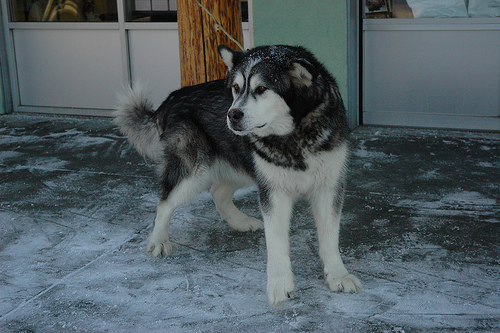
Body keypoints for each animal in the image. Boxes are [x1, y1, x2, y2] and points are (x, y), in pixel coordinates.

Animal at [114, 45, 362, 304]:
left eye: (261, 89)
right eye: (235, 88)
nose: (232, 114)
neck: (293, 136)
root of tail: (174, 96)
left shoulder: (328, 187)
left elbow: (330, 238)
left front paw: (337, 275)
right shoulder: (273, 191)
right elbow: (276, 242)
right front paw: (280, 284)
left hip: (242, 164)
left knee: (218, 193)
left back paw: (240, 221)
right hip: (196, 171)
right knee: (165, 202)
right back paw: (158, 240)